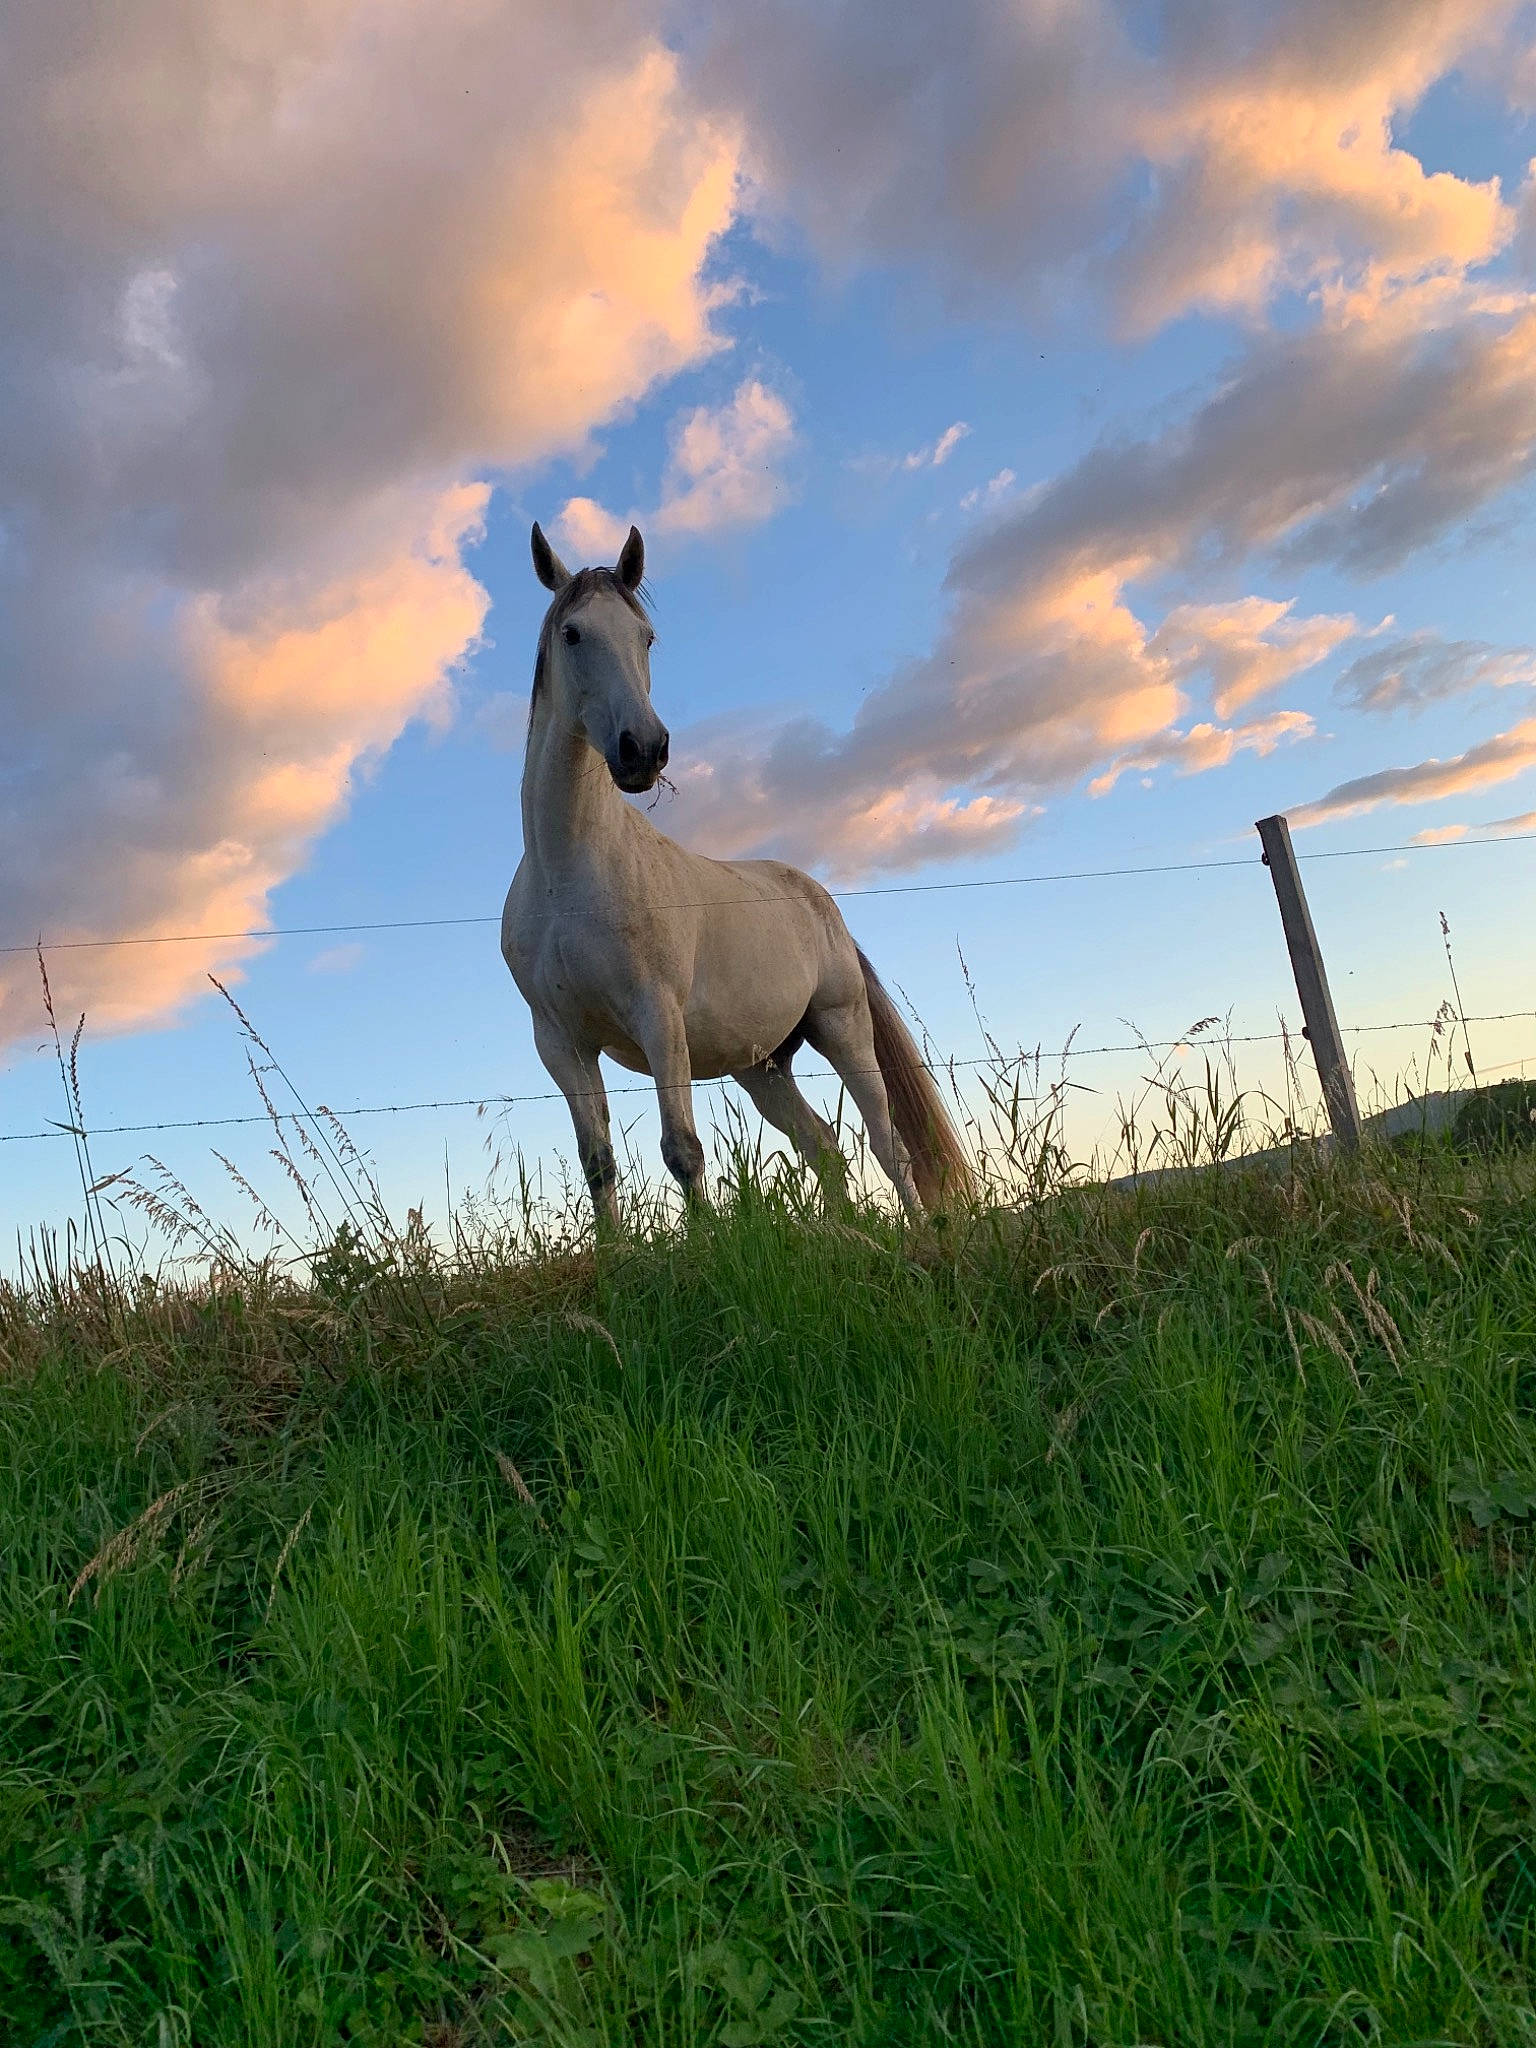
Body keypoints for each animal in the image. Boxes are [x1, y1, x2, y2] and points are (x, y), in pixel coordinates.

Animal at [500, 520, 974, 1228]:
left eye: (645, 636)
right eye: (573, 633)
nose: (644, 749)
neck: (568, 876)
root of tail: (818, 900)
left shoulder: (659, 1019)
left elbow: (681, 1151)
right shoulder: (562, 1044)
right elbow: (599, 1164)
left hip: (842, 1030)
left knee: (888, 1144)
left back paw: (919, 1235)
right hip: (763, 1066)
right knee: (822, 1144)